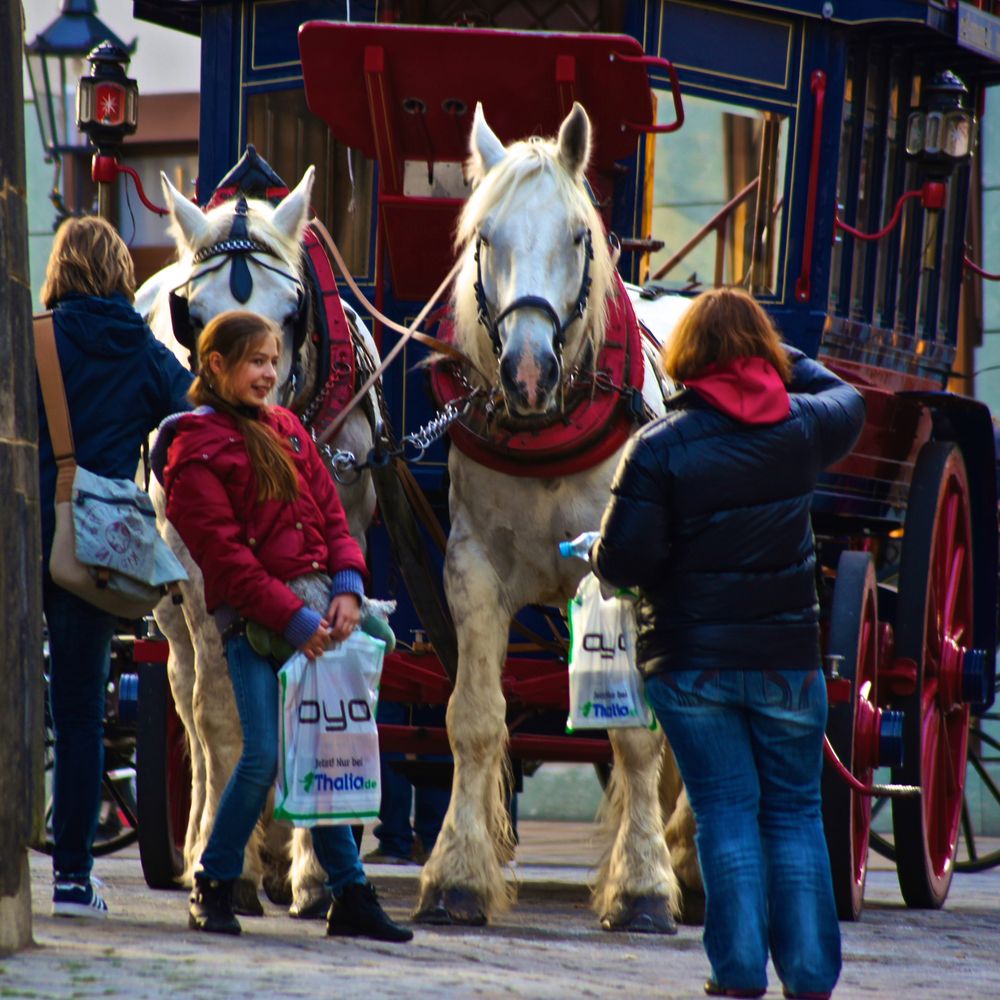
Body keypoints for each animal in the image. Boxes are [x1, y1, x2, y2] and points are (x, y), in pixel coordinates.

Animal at [414, 101, 704, 928]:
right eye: (485, 236)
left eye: (578, 236)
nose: (528, 371)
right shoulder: (472, 570)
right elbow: (475, 720)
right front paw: (457, 874)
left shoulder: (618, 575)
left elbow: (635, 737)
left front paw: (643, 886)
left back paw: (688, 867)